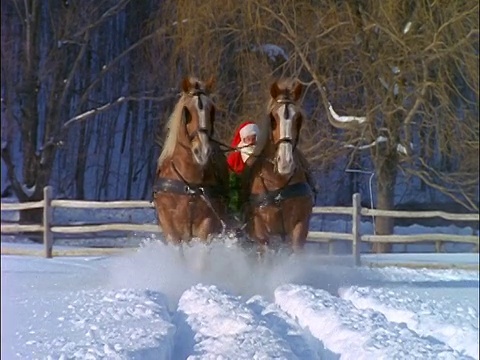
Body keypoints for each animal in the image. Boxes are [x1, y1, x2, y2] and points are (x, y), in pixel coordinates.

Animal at [244, 78, 316, 253]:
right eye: (273, 119)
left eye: (298, 118)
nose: (285, 162)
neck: (279, 185)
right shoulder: (261, 232)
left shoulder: (300, 226)